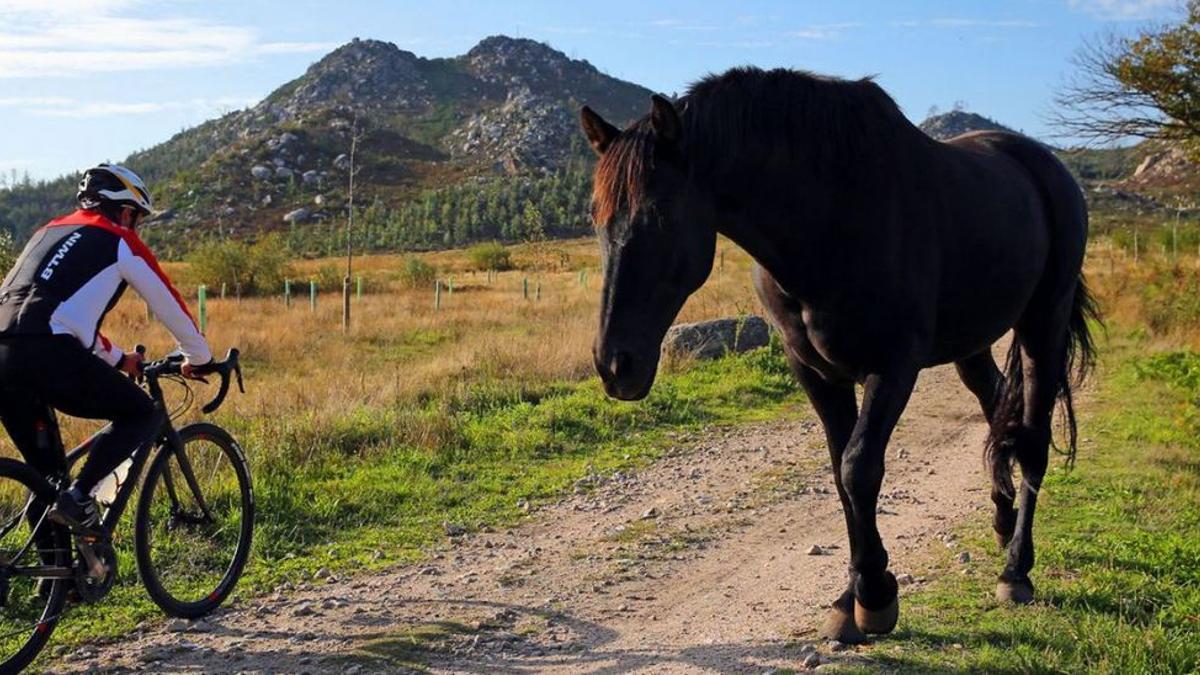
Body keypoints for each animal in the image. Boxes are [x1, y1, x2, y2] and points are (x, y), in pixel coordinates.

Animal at [580, 66, 1099, 638]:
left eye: (660, 215)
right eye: (596, 217)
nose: (615, 365)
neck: (831, 221)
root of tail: (1046, 167)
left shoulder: (893, 366)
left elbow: (858, 468)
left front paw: (875, 596)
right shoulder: (815, 370)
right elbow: (839, 475)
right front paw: (848, 600)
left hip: (1043, 324)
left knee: (1032, 438)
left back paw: (1016, 569)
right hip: (974, 343)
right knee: (997, 409)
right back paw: (1002, 525)